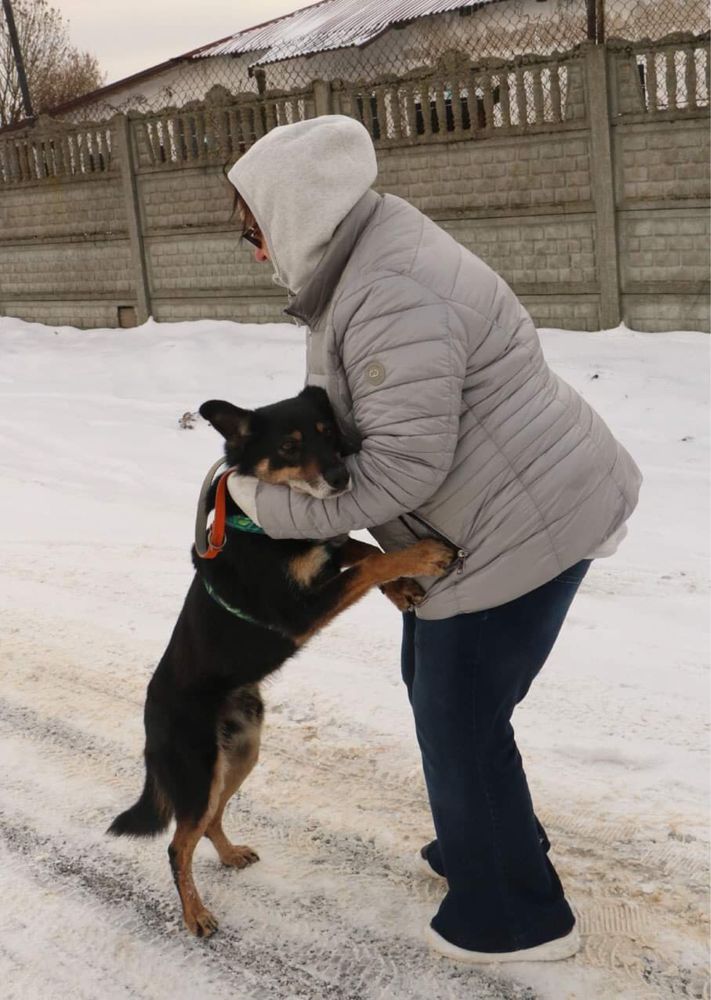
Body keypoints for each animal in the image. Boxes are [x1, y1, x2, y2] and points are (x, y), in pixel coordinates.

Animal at [110, 384, 456, 936]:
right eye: (290, 447)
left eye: (329, 434)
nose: (341, 478)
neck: (257, 527)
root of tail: (150, 715)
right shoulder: (300, 610)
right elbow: (368, 563)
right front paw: (419, 558)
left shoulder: (322, 550)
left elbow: (356, 549)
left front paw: (402, 587)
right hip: (198, 771)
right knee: (177, 844)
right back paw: (195, 913)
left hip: (241, 754)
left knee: (210, 822)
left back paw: (229, 855)